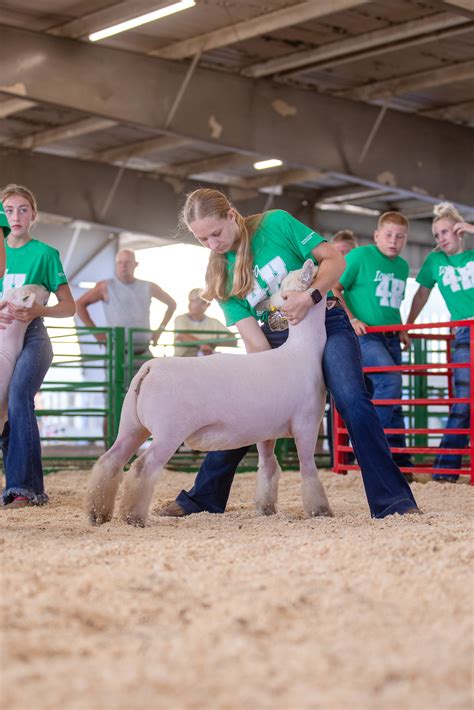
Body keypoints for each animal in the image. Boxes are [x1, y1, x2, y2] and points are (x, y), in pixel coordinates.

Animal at [86, 262, 330, 528]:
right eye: (300, 276)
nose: (313, 262)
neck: (302, 350)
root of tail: (149, 368)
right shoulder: (307, 423)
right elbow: (308, 469)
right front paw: (320, 511)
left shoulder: (267, 430)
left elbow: (268, 467)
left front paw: (267, 509)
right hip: (169, 432)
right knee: (143, 467)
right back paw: (132, 517)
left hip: (131, 425)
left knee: (110, 461)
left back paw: (98, 514)